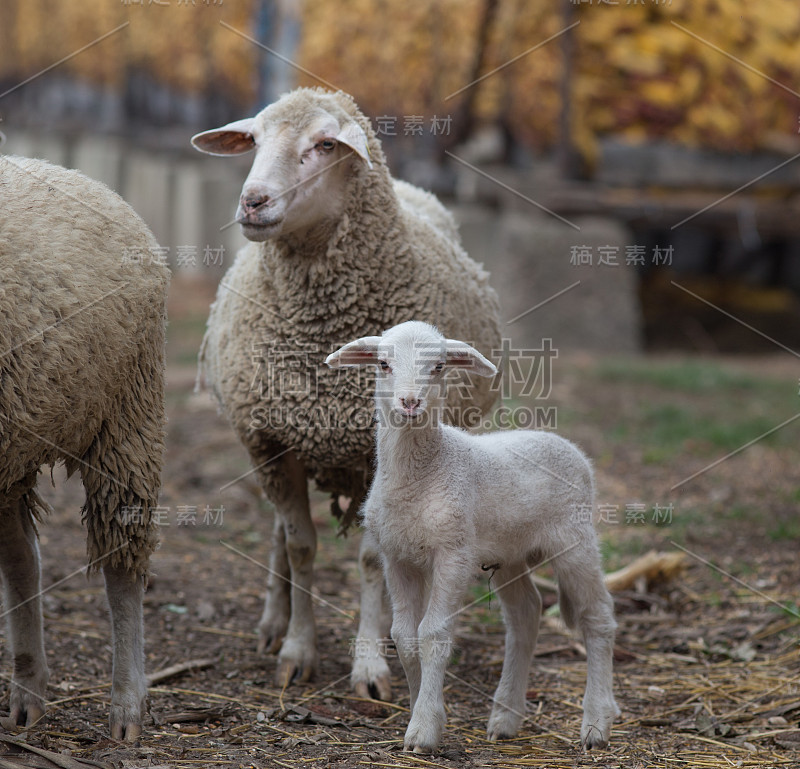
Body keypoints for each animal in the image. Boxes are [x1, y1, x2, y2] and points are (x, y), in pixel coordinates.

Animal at [189, 85, 500, 696]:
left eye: (325, 145)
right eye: (253, 140)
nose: (253, 202)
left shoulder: (366, 453)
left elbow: (372, 561)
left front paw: (370, 665)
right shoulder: (270, 441)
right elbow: (301, 546)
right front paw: (296, 650)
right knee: (280, 536)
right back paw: (273, 621)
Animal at [324, 320, 620, 752]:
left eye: (439, 367)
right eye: (382, 364)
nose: (409, 403)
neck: (425, 472)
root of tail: (570, 448)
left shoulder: (453, 552)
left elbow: (432, 634)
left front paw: (424, 730)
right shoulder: (397, 557)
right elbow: (404, 637)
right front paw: (419, 710)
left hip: (575, 539)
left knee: (598, 617)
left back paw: (596, 723)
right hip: (511, 552)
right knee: (526, 613)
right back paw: (505, 718)